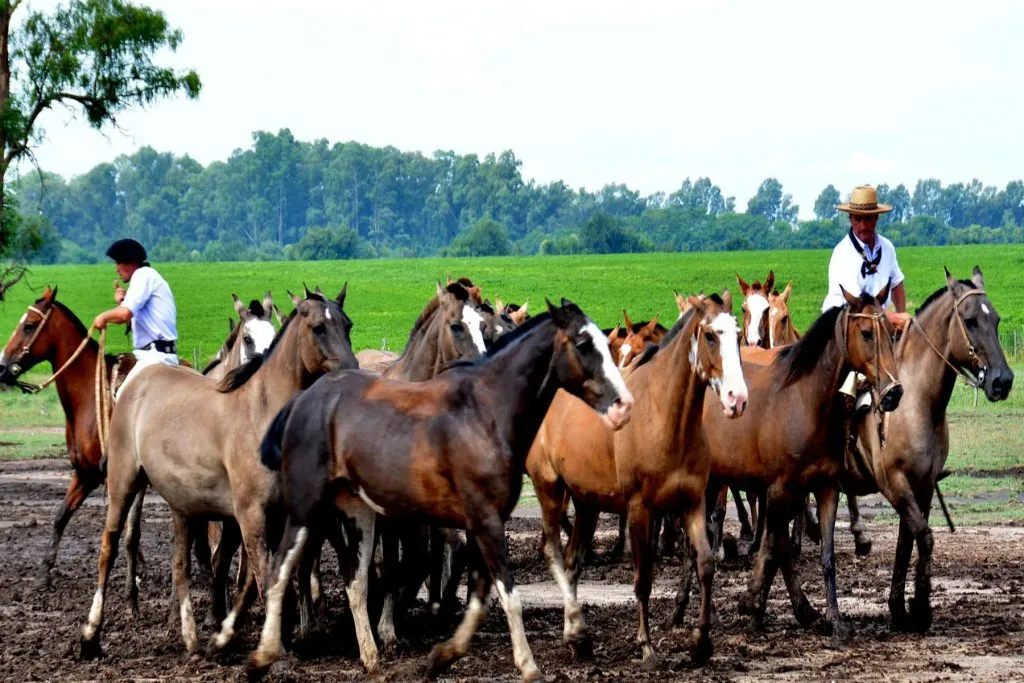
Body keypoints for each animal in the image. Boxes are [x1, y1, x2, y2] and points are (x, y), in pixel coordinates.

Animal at [247, 299, 630, 683]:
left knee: (355, 580)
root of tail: (300, 401)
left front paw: (442, 656)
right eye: (583, 344)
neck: (484, 414)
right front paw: (530, 666)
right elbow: (509, 595)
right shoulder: (485, 521)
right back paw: (264, 656)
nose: (624, 405)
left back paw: (371, 658)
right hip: (306, 509)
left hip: (358, 512)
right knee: (280, 569)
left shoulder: (481, 524)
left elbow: (479, 599)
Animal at [528, 294, 745, 667]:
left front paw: (701, 642)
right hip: (551, 491)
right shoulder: (640, 509)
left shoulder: (692, 503)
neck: (665, 417)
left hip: (586, 503)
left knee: (573, 562)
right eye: (710, 336)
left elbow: (704, 563)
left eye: (738, 334)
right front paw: (646, 646)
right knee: (554, 553)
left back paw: (577, 637)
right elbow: (643, 578)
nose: (737, 398)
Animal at [843, 268, 1011, 634]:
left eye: (996, 319)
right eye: (970, 320)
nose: (1003, 381)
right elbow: (925, 537)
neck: (915, 403)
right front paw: (920, 608)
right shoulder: (894, 483)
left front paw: (900, 609)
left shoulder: (923, 485)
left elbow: (907, 541)